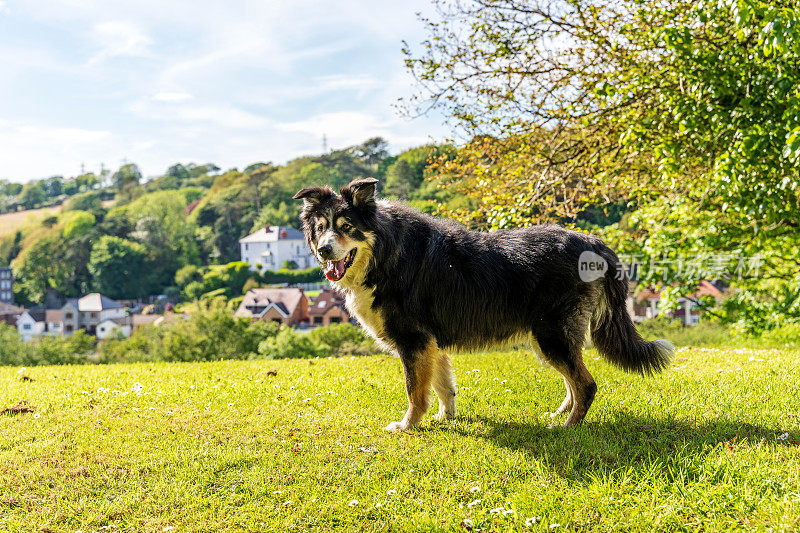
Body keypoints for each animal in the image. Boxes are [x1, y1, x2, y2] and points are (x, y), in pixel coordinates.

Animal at [290, 179, 672, 432]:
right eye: (320, 228)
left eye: (347, 226)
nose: (323, 250)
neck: (385, 252)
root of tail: (593, 242)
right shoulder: (432, 344)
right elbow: (442, 387)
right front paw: (445, 419)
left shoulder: (414, 342)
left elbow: (415, 391)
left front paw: (408, 425)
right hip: (550, 337)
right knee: (573, 381)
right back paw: (559, 414)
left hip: (550, 334)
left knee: (586, 384)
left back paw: (567, 427)